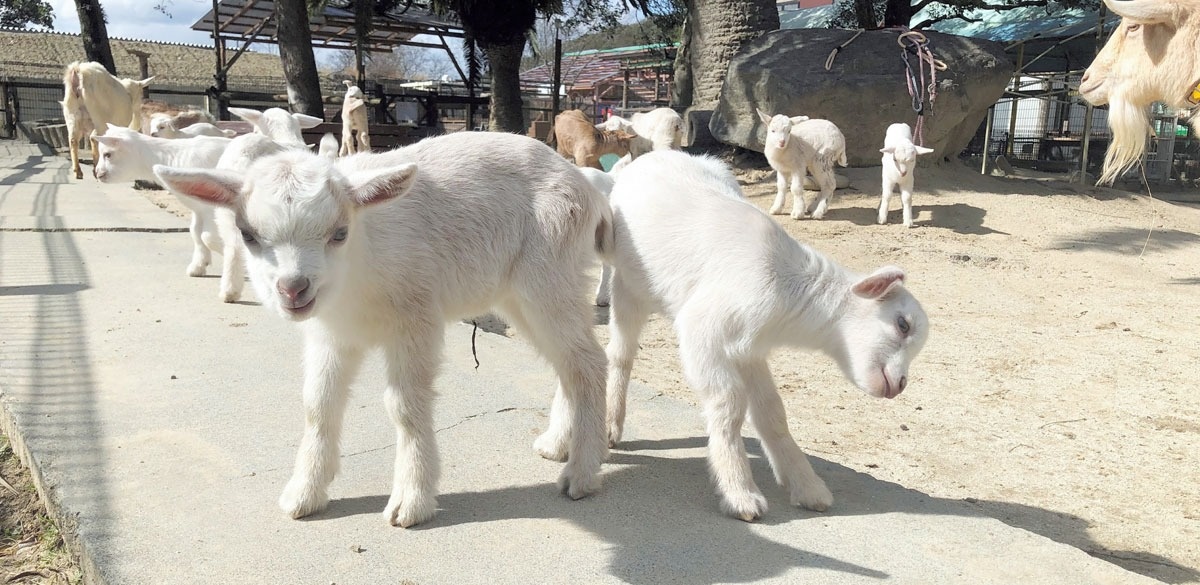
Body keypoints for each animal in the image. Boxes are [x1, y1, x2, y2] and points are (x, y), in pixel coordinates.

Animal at [151, 130, 614, 527]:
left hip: (549, 272)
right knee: (569, 363)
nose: (293, 288)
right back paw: (557, 444)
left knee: (589, 362)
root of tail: (587, 189)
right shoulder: (331, 333)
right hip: (517, 295)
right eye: (248, 235)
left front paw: (411, 503)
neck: (359, 270)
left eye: (339, 233)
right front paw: (303, 494)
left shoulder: (416, 317)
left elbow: (405, 407)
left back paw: (581, 474)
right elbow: (317, 404)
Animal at [609, 151, 926, 520]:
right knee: (621, 354)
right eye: (902, 324)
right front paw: (740, 492)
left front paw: (807, 486)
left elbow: (772, 413)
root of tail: (658, 152)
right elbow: (729, 403)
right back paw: (610, 425)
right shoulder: (701, 330)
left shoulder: (749, 349)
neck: (789, 292)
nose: (900, 385)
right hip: (628, 285)